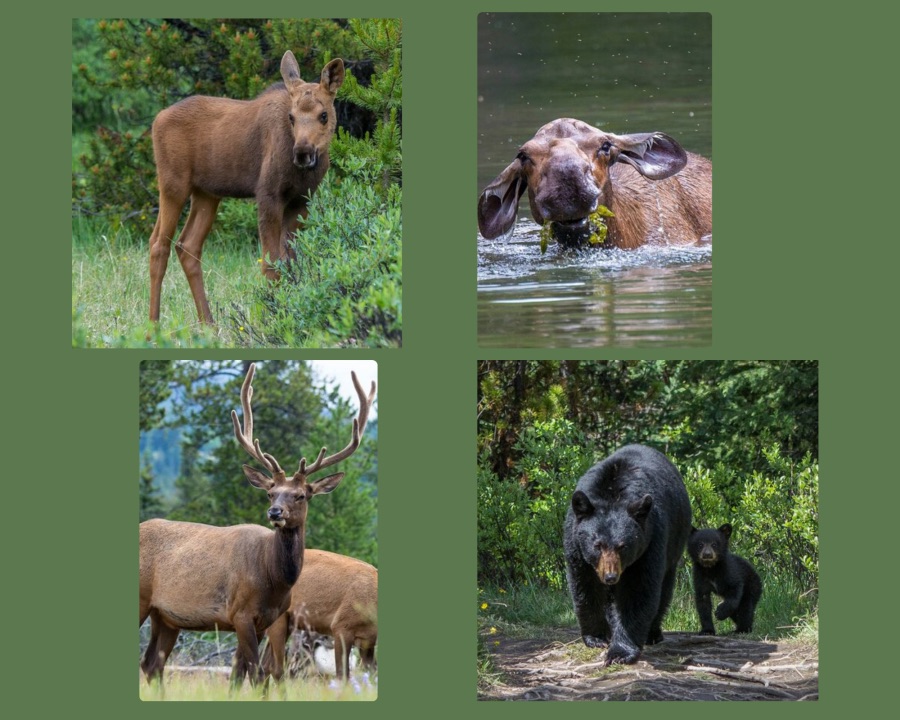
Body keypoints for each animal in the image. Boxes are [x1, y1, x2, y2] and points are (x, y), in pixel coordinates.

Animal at [148, 54, 344, 324]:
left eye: (324, 115)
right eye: (291, 117)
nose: (303, 153)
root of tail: (157, 119)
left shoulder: (301, 201)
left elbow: (291, 263)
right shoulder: (268, 195)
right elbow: (271, 264)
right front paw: (271, 320)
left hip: (207, 194)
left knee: (187, 246)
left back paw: (209, 323)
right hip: (173, 184)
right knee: (159, 245)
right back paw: (153, 324)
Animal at [260, 552, 376, 680]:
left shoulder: (367, 642)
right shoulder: (342, 626)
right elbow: (342, 675)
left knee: (265, 665)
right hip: (278, 617)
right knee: (275, 668)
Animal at [568, 442, 692, 668]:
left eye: (622, 546)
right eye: (597, 545)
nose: (610, 576)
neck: (612, 494)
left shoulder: (651, 539)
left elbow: (638, 590)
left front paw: (620, 652)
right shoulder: (576, 545)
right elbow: (585, 586)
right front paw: (596, 637)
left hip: (674, 543)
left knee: (664, 589)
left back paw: (653, 633)